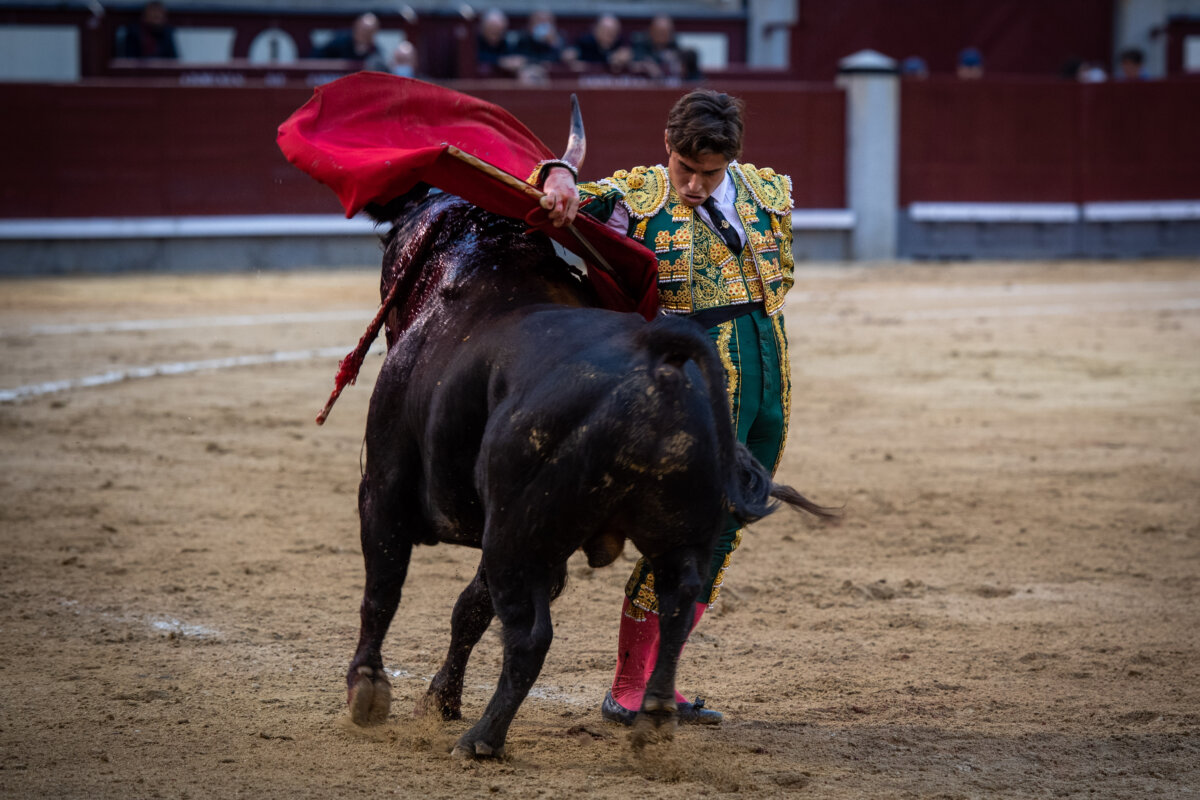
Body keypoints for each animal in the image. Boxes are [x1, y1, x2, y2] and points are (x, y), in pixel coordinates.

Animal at [340, 113, 831, 761]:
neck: (481, 266)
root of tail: (658, 363)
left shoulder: (386, 485)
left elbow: (385, 587)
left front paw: (369, 691)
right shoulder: (512, 530)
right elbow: (468, 607)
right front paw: (439, 699)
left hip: (518, 535)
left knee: (531, 636)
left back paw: (483, 740)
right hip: (665, 531)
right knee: (677, 604)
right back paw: (653, 715)